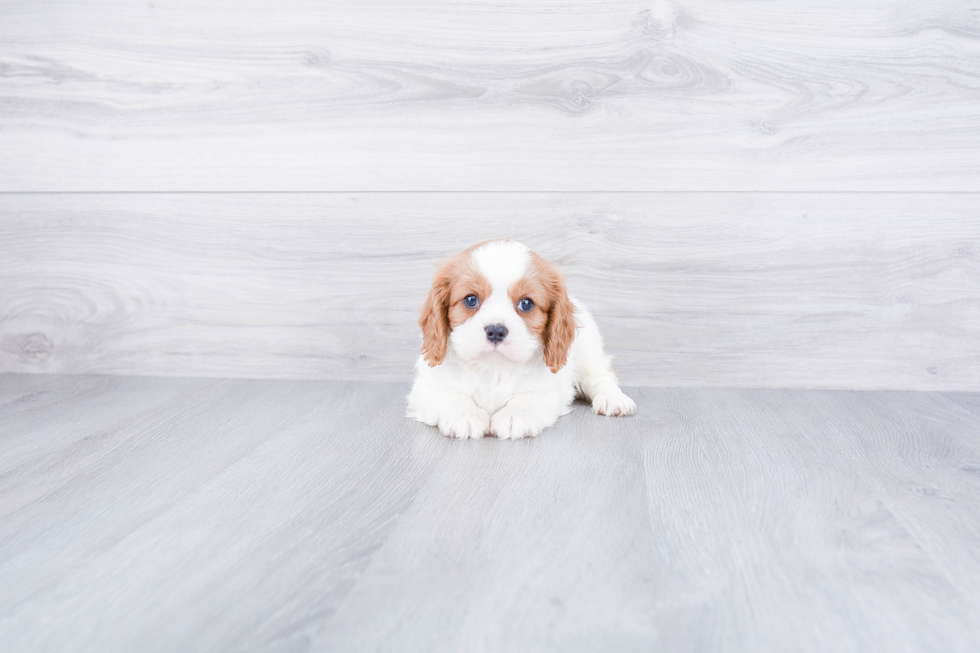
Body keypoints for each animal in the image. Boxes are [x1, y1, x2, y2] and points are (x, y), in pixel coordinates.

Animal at [406, 239, 636, 438]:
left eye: (526, 303)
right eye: (470, 299)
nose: (496, 330)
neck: (493, 369)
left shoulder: (548, 388)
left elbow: (527, 397)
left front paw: (514, 416)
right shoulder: (426, 387)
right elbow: (450, 395)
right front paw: (464, 416)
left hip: (589, 353)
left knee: (601, 378)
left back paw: (613, 399)